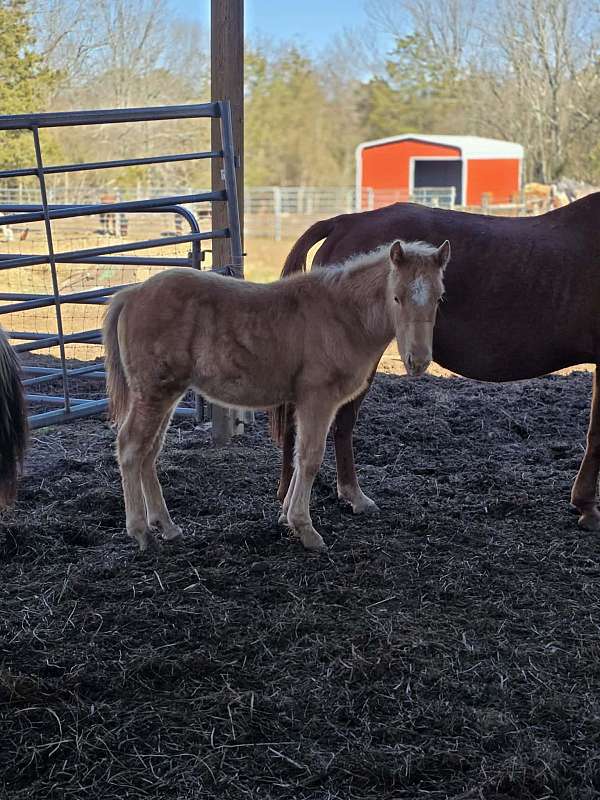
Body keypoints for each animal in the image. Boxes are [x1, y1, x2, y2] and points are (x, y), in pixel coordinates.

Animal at [103, 238, 450, 552]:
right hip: (154, 393)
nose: (418, 361)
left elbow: (297, 455)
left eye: (439, 299)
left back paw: (167, 526)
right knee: (131, 447)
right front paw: (305, 529)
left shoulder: (305, 401)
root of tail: (131, 295)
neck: (342, 316)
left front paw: (286, 517)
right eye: (397, 297)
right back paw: (141, 531)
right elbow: (310, 458)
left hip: (167, 393)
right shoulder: (317, 399)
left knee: (150, 450)